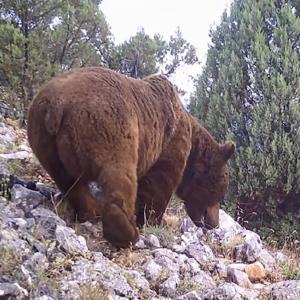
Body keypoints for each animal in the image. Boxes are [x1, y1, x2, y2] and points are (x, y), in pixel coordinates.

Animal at [27, 67, 234, 248]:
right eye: (219, 193)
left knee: (69, 181)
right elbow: (159, 184)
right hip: (108, 124)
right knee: (119, 174)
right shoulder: (170, 142)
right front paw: (154, 220)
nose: (214, 224)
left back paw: (91, 211)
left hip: (43, 138)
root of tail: (57, 104)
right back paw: (125, 233)